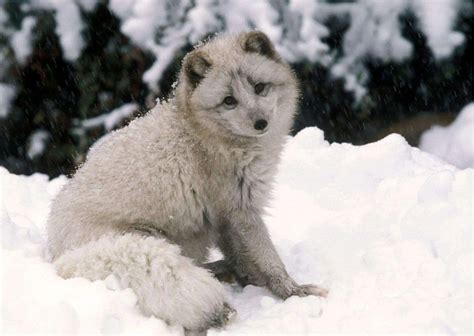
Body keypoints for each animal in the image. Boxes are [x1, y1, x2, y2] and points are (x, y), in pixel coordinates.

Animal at [49, 31, 330, 334]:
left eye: (259, 87)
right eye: (229, 101)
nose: (260, 123)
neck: (199, 129)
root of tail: (57, 256)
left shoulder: (224, 222)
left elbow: (243, 258)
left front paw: (251, 279)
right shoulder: (239, 212)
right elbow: (269, 261)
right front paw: (294, 292)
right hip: (148, 236)